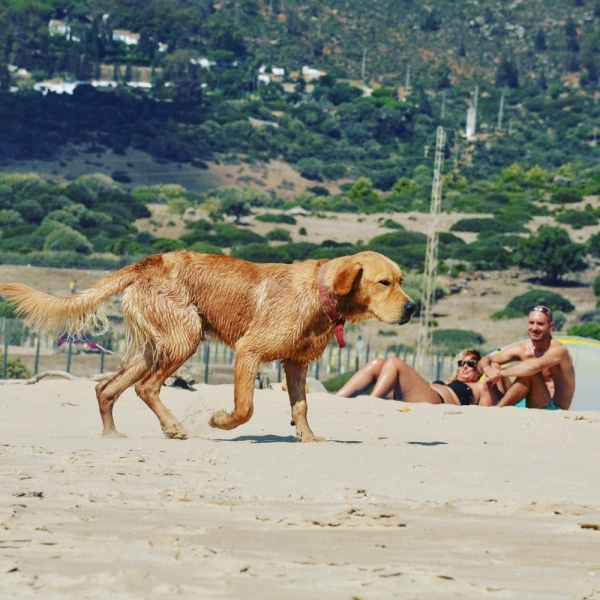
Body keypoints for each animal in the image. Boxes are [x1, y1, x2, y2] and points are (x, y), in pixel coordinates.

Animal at [0, 248, 414, 440]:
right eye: (384, 283)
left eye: (401, 280)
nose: (413, 307)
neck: (321, 292)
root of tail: (146, 262)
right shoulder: (249, 351)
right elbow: (245, 407)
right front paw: (220, 420)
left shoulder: (296, 364)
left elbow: (302, 405)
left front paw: (308, 437)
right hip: (184, 339)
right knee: (146, 388)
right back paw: (174, 427)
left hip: (154, 347)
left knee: (107, 388)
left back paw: (113, 434)